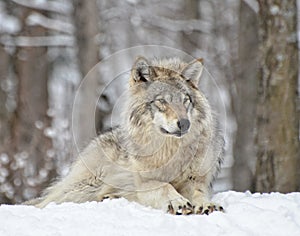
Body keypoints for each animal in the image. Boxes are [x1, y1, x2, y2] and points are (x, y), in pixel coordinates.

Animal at [24, 56, 224, 215]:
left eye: (185, 100)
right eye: (161, 101)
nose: (184, 123)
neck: (169, 151)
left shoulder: (196, 180)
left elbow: (198, 192)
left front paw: (206, 204)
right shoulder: (145, 183)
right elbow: (165, 187)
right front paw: (178, 202)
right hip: (84, 188)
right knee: (46, 202)